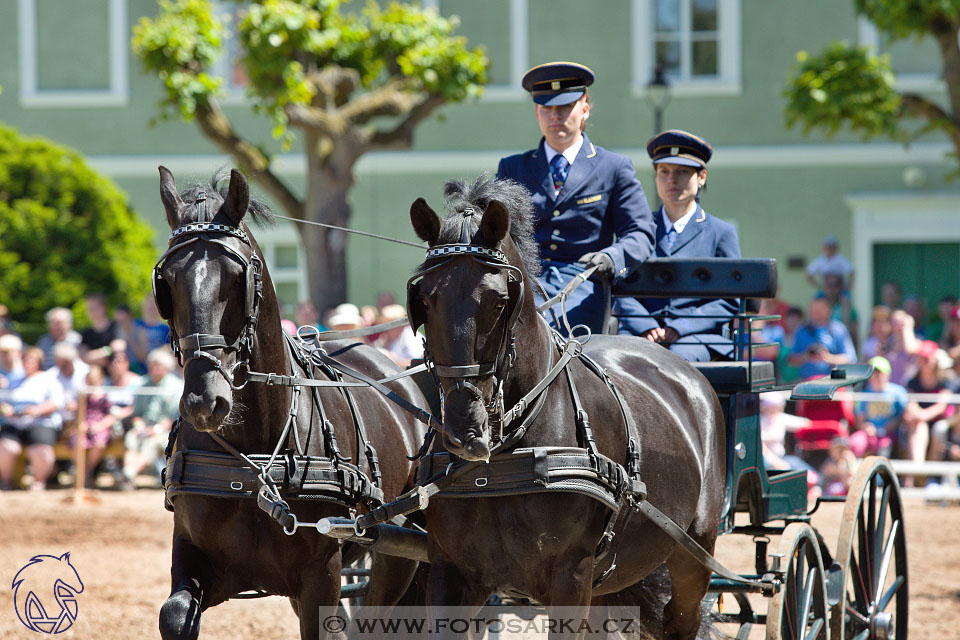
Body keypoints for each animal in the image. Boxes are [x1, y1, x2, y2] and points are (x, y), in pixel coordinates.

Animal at [152, 169, 426, 640]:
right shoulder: (194, 555)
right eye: (166, 282)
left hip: (396, 554)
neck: (257, 460)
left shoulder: (321, 575)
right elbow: (174, 614)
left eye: (236, 278)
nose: (205, 399)